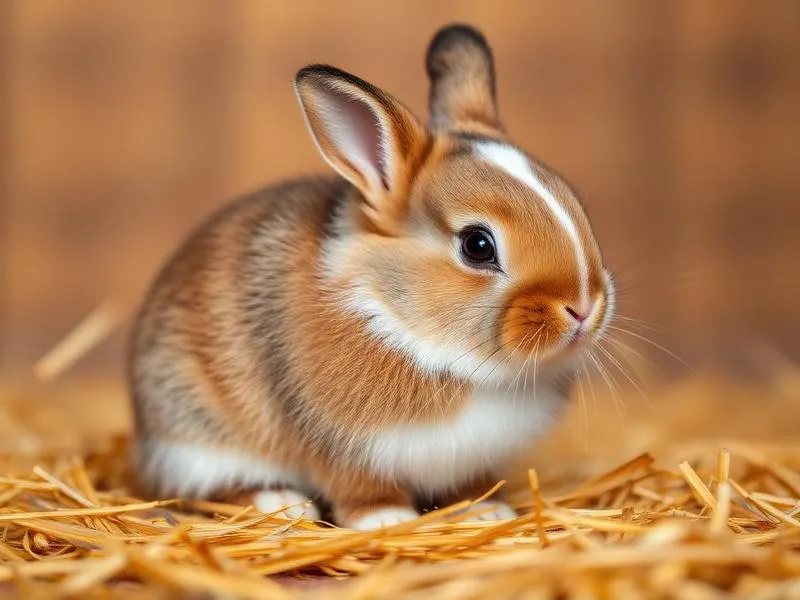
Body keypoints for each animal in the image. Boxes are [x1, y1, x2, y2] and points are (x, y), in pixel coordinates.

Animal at [128, 23, 616, 530]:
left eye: (576, 202)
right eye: (478, 245)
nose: (584, 308)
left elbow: (469, 486)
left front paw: (486, 510)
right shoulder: (338, 446)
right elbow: (360, 487)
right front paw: (386, 520)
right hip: (197, 440)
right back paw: (281, 503)